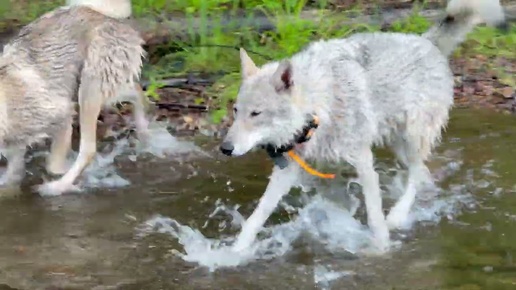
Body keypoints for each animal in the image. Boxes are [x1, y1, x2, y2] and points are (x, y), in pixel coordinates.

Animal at [0, 0, 147, 196]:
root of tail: (101, 13)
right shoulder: (15, 145)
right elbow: (13, 176)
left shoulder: (62, 114)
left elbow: (54, 165)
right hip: (99, 88)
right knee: (136, 91)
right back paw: (146, 136)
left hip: (88, 91)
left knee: (88, 149)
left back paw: (58, 187)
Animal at [219, 0, 508, 251]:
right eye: (236, 111)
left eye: (256, 113)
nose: (224, 148)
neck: (320, 107)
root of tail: (427, 42)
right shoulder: (288, 170)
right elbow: (257, 216)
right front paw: (233, 254)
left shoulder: (364, 162)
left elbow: (374, 217)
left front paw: (381, 250)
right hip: (398, 145)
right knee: (423, 174)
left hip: (412, 139)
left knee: (415, 174)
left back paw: (399, 215)